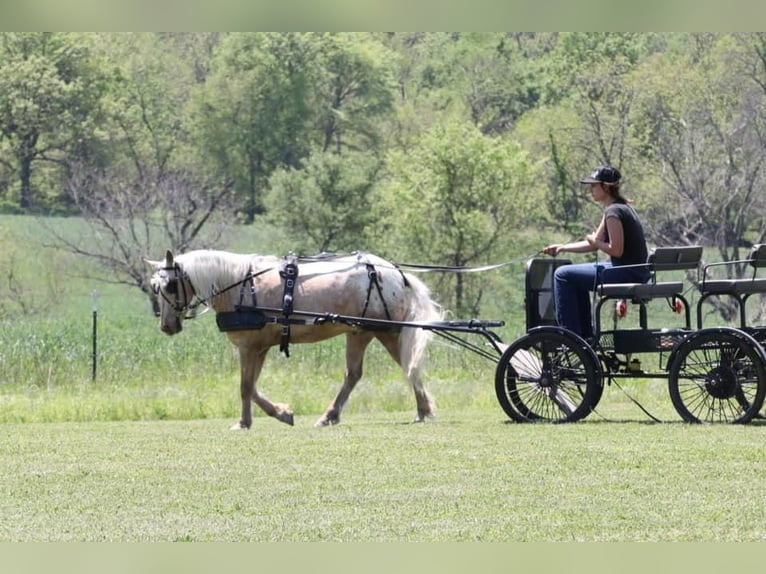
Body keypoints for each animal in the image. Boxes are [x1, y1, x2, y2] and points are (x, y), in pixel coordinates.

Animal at [148, 250, 444, 430]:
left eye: (170, 285)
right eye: (155, 287)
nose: (166, 326)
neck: (240, 285)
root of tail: (395, 272)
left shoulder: (249, 346)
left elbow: (245, 387)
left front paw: (249, 421)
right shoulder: (259, 347)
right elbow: (251, 387)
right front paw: (277, 413)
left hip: (385, 331)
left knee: (408, 366)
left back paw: (421, 410)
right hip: (360, 332)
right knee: (355, 374)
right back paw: (331, 415)